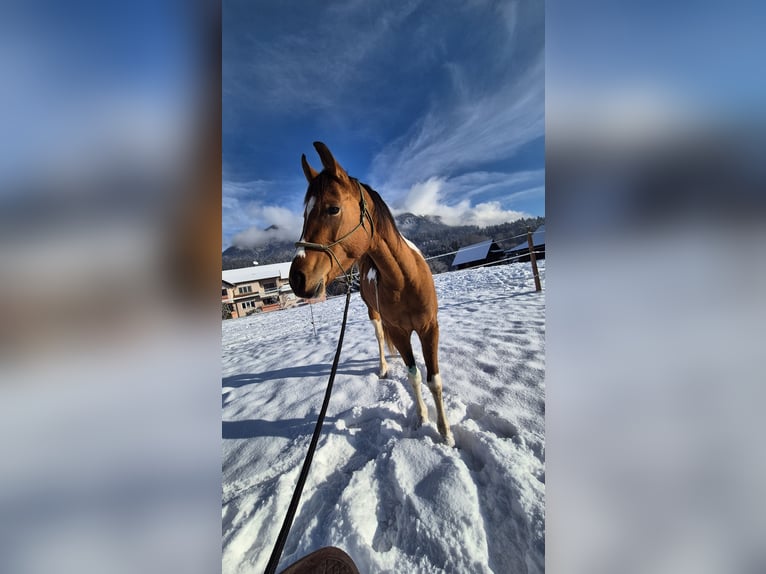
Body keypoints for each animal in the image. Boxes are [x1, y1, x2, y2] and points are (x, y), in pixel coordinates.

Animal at [289, 142, 454, 446]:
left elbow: (434, 380)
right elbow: (414, 376)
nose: (297, 279)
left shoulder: (429, 328)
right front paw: (422, 418)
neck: (404, 280)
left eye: (333, 209)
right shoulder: (399, 333)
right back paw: (383, 366)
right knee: (379, 337)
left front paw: (446, 433)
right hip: (373, 313)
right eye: (305, 215)